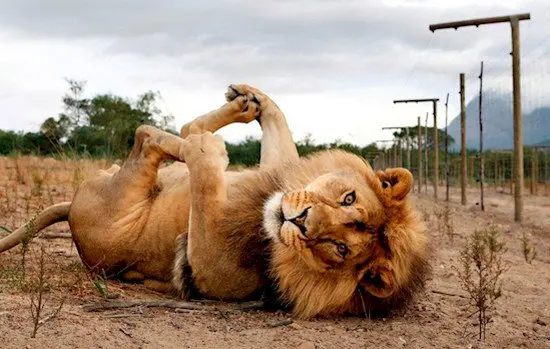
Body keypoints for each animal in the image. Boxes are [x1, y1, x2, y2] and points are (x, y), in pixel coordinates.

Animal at [0, 84, 432, 318]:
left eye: (341, 249)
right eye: (348, 198)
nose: (300, 219)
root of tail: (70, 211)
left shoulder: (206, 266)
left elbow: (205, 179)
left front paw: (208, 149)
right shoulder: (276, 174)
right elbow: (278, 138)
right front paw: (255, 101)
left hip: (123, 193)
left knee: (148, 136)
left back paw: (196, 139)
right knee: (169, 133)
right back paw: (239, 107)